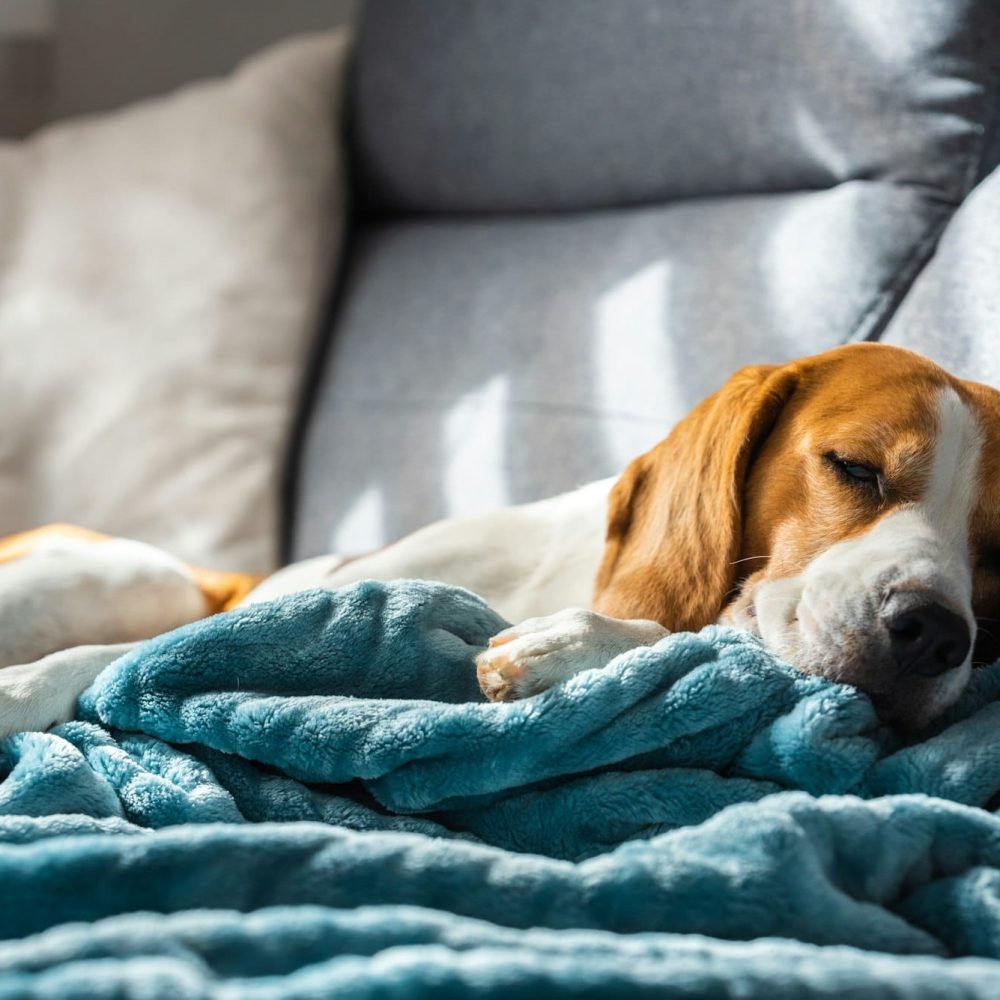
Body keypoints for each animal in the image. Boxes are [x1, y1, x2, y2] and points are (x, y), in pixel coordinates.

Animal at [1, 340, 1000, 732]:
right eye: (856, 469)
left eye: (999, 555)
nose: (934, 633)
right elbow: (110, 658)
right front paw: (20, 691)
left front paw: (571, 647)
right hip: (129, 577)